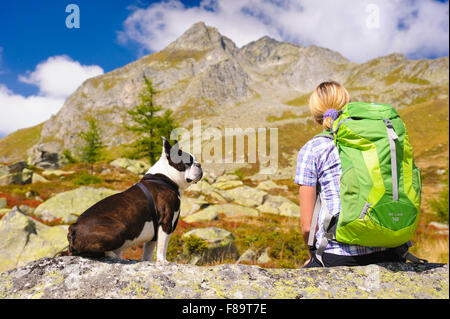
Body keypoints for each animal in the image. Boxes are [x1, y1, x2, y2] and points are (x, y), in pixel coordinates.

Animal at [67, 138, 203, 262]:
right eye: (188, 162)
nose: (199, 164)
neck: (165, 178)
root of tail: (74, 228)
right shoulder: (166, 223)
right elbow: (162, 248)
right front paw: (163, 261)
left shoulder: (153, 236)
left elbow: (148, 252)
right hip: (119, 229)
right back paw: (112, 254)